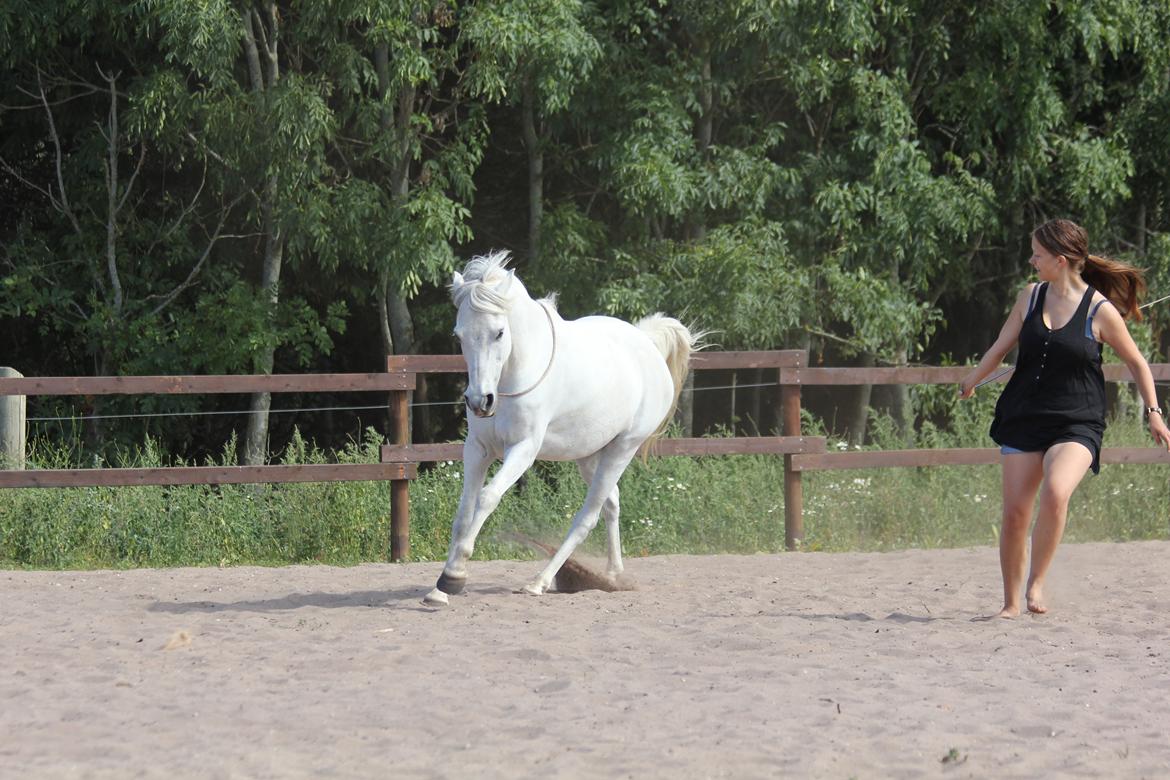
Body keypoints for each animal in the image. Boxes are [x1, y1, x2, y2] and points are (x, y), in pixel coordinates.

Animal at [428, 250, 697, 603]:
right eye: (458, 335)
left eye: (499, 332)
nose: (479, 401)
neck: (514, 376)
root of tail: (647, 345)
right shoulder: (478, 449)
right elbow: (464, 511)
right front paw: (440, 587)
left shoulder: (523, 450)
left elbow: (487, 498)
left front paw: (453, 577)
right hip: (590, 455)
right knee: (612, 502)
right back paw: (613, 575)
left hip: (622, 450)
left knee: (588, 517)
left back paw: (539, 582)